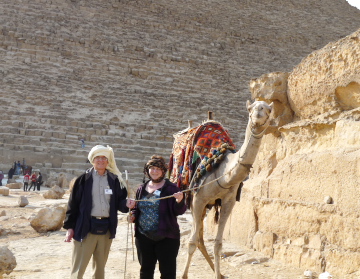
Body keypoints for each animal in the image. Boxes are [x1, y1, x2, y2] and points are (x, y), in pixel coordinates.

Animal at [181, 100, 274, 279]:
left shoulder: (228, 201)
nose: (258, 115)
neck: (224, 173)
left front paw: (218, 275)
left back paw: (218, 272)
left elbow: (218, 244)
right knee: (196, 236)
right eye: (250, 109)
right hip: (192, 200)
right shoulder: (198, 199)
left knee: (201, 237)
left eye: (268, 109)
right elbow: (191, 241)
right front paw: (183, 276)